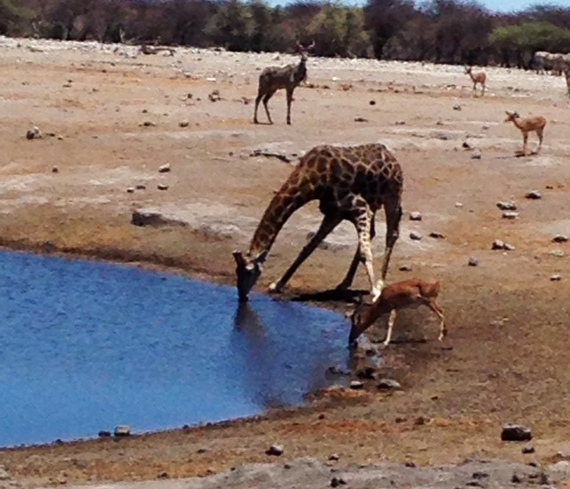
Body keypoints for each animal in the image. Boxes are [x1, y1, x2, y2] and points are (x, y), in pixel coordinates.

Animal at [232, 141, 404, 302]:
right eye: (236, 271)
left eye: (249, 271)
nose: (242, 295)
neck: (313, 180)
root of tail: (391, 156)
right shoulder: (334, 212)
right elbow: (308, 248)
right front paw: (278, 284)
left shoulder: (359, 206)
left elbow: (365, 252)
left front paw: (375, 292)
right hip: (373, 202)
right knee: (372, 233)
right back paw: (344, 283)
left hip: (392, 194)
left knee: (391, 234)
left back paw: (379, 284)